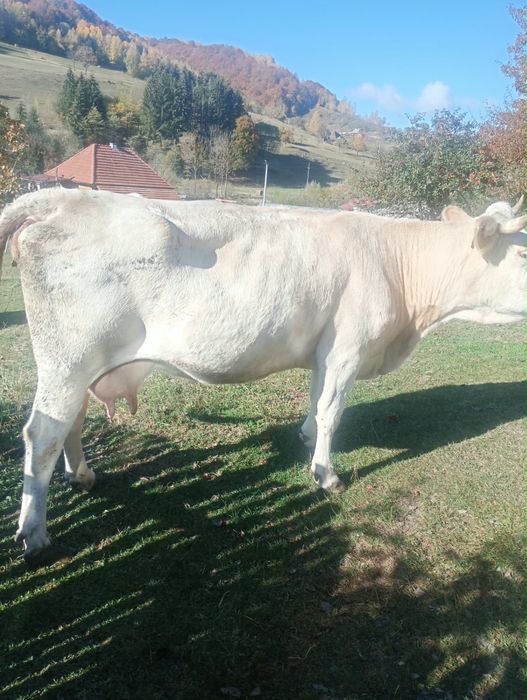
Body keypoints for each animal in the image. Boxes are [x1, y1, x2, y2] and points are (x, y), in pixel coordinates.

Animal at [0, 188, 525, 558]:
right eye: (522, 254)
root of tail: (63, 197)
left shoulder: (324, 350)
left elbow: (316, 400)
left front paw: (305, 436)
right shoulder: (347, 349)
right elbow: (333, 413)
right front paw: (325, 475)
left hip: (81, 364)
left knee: (72, 420)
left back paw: (83, 476)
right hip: (68, 357)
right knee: (43, 433)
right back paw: (35, 532)